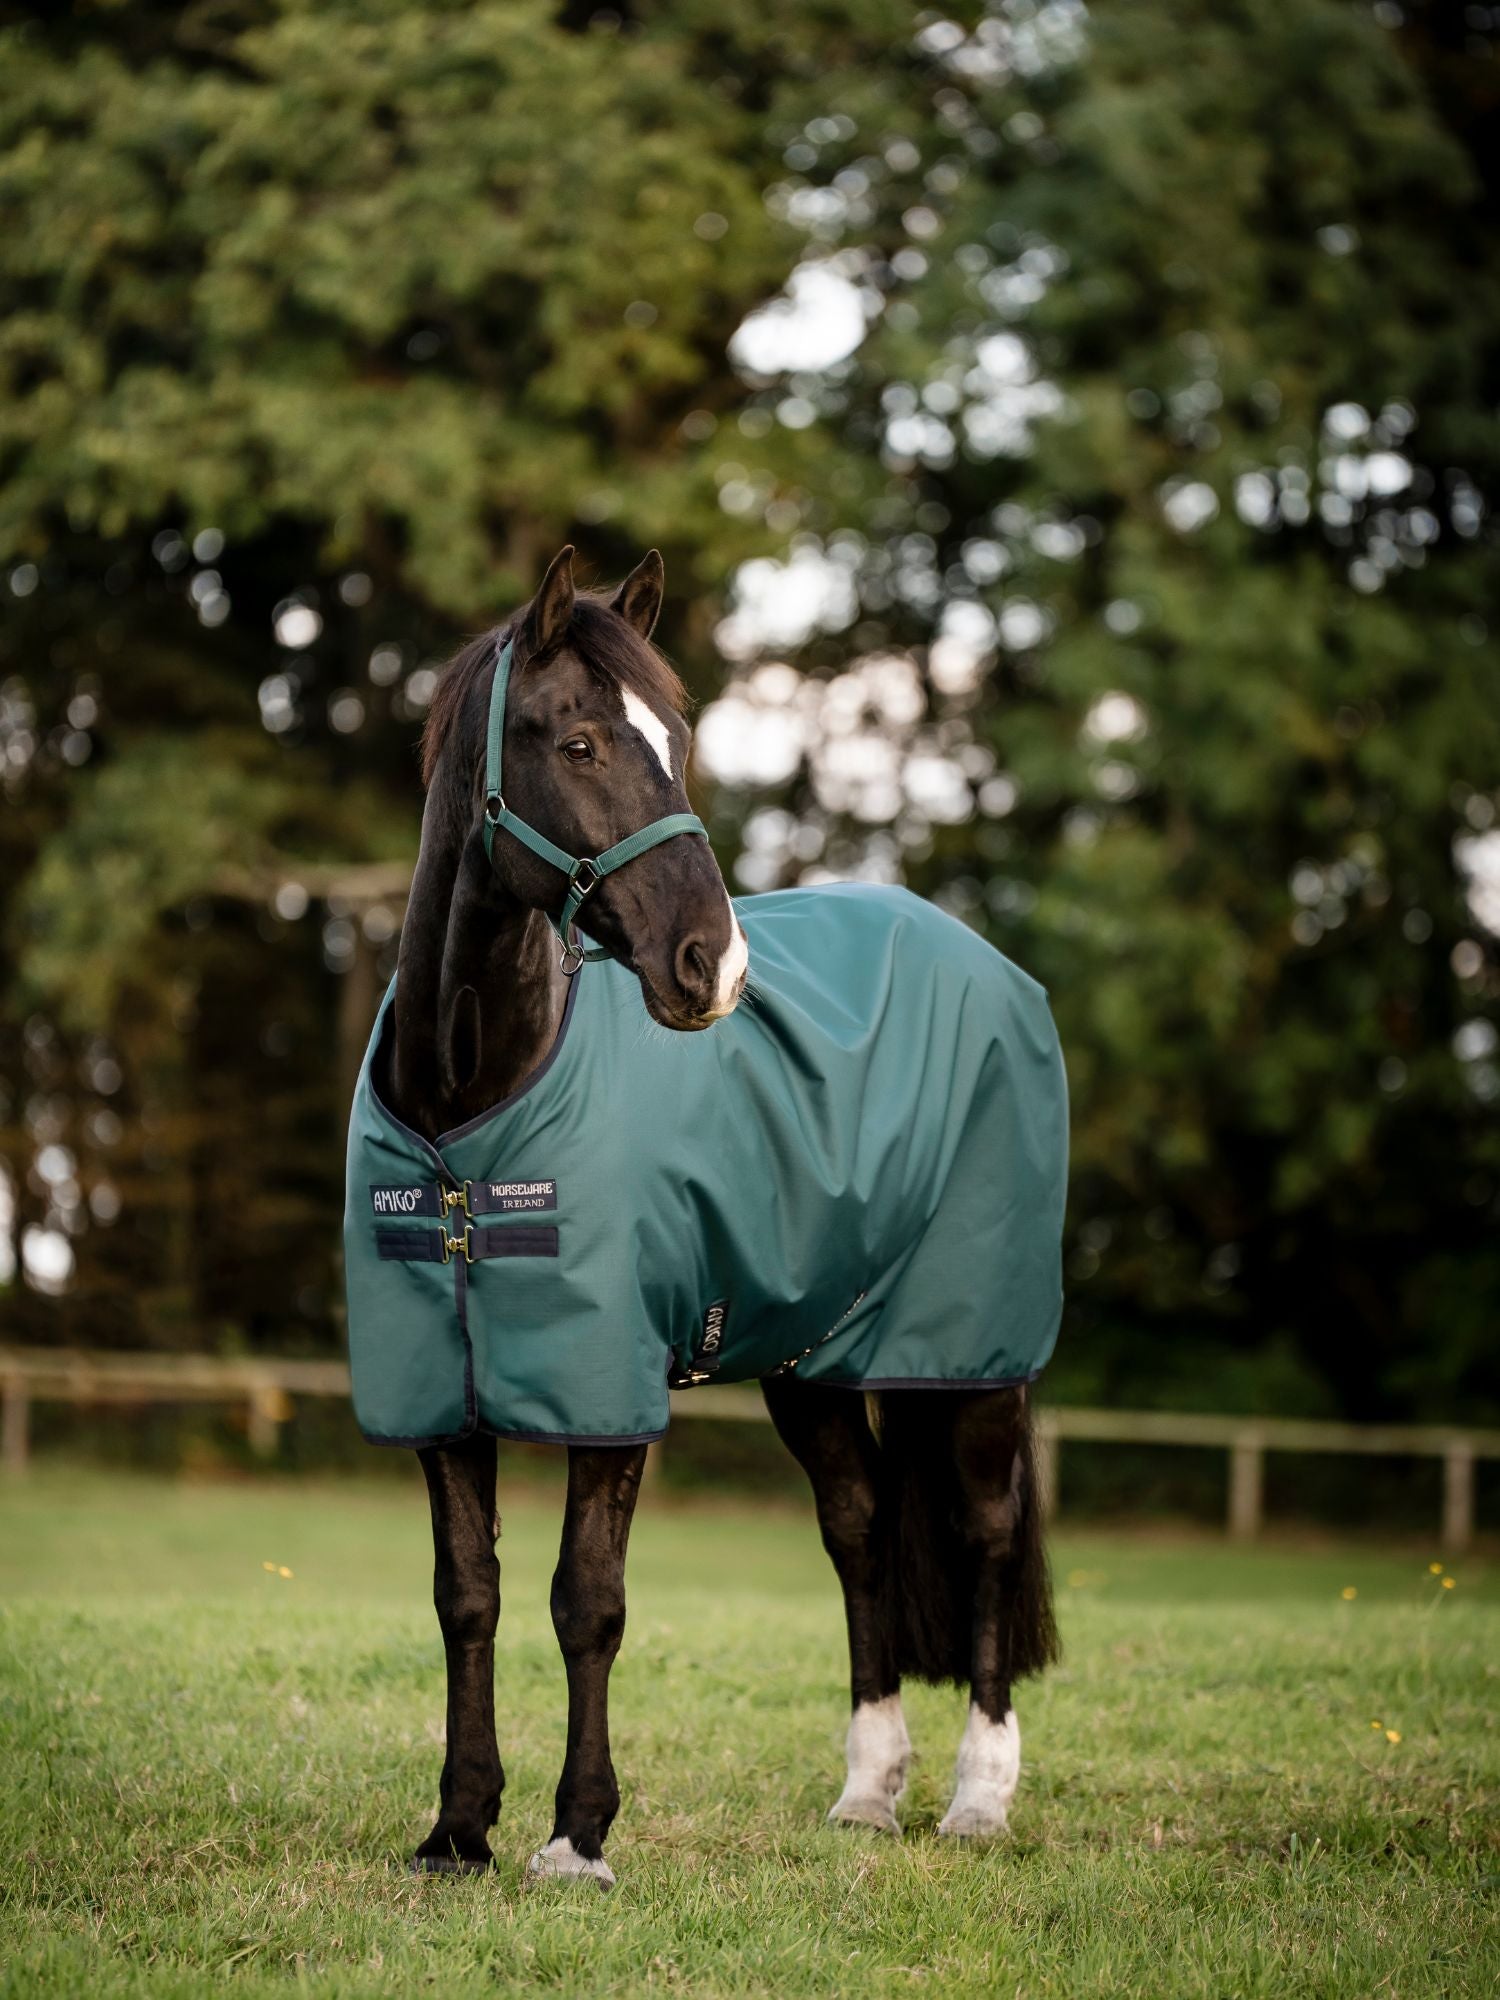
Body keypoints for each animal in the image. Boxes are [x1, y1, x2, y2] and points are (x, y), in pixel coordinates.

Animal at [353, 544, 1064, 1885]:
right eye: (578, 741)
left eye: (676, 741)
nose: (713, 966)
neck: (473, 1104)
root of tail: (986, 960)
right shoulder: (435, 1390)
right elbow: (465, 1592)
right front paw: (458, 1827)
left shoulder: (609, 1383)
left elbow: (587, 1598)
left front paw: (578, 1833)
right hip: (813, 1358)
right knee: (860, 1527)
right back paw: (868, 1790)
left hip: (973, 1351)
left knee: (986, 1531)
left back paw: (980, 1796)